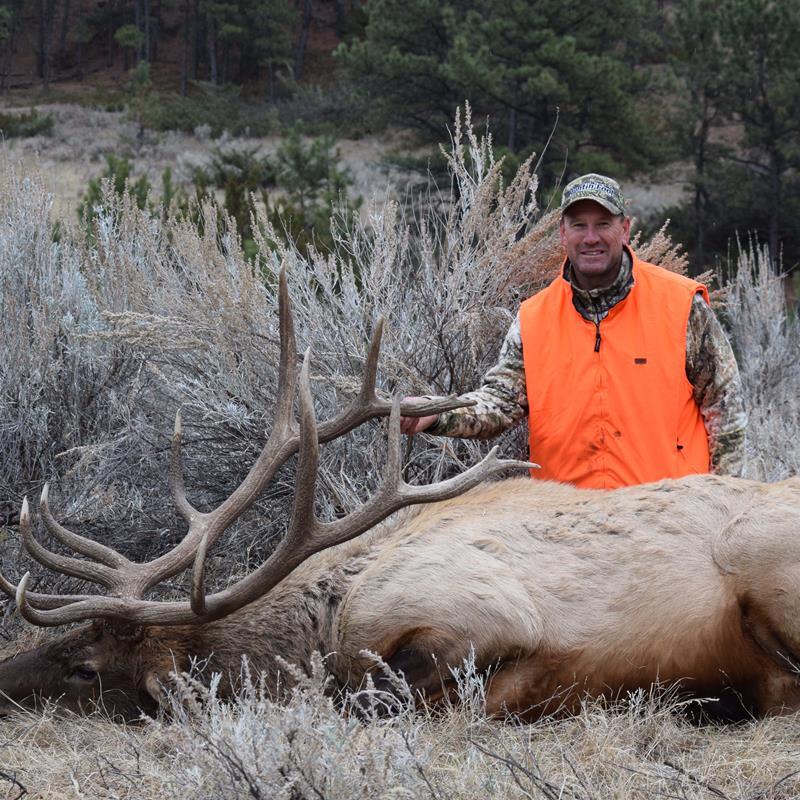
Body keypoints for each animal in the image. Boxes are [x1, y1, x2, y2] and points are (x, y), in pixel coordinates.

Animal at [0, 271, 799, 724]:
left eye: (85, 668)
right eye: (63, 644)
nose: (4, 679)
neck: (323, 616)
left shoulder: (477, 612)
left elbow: (374, 696)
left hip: (766, 561)